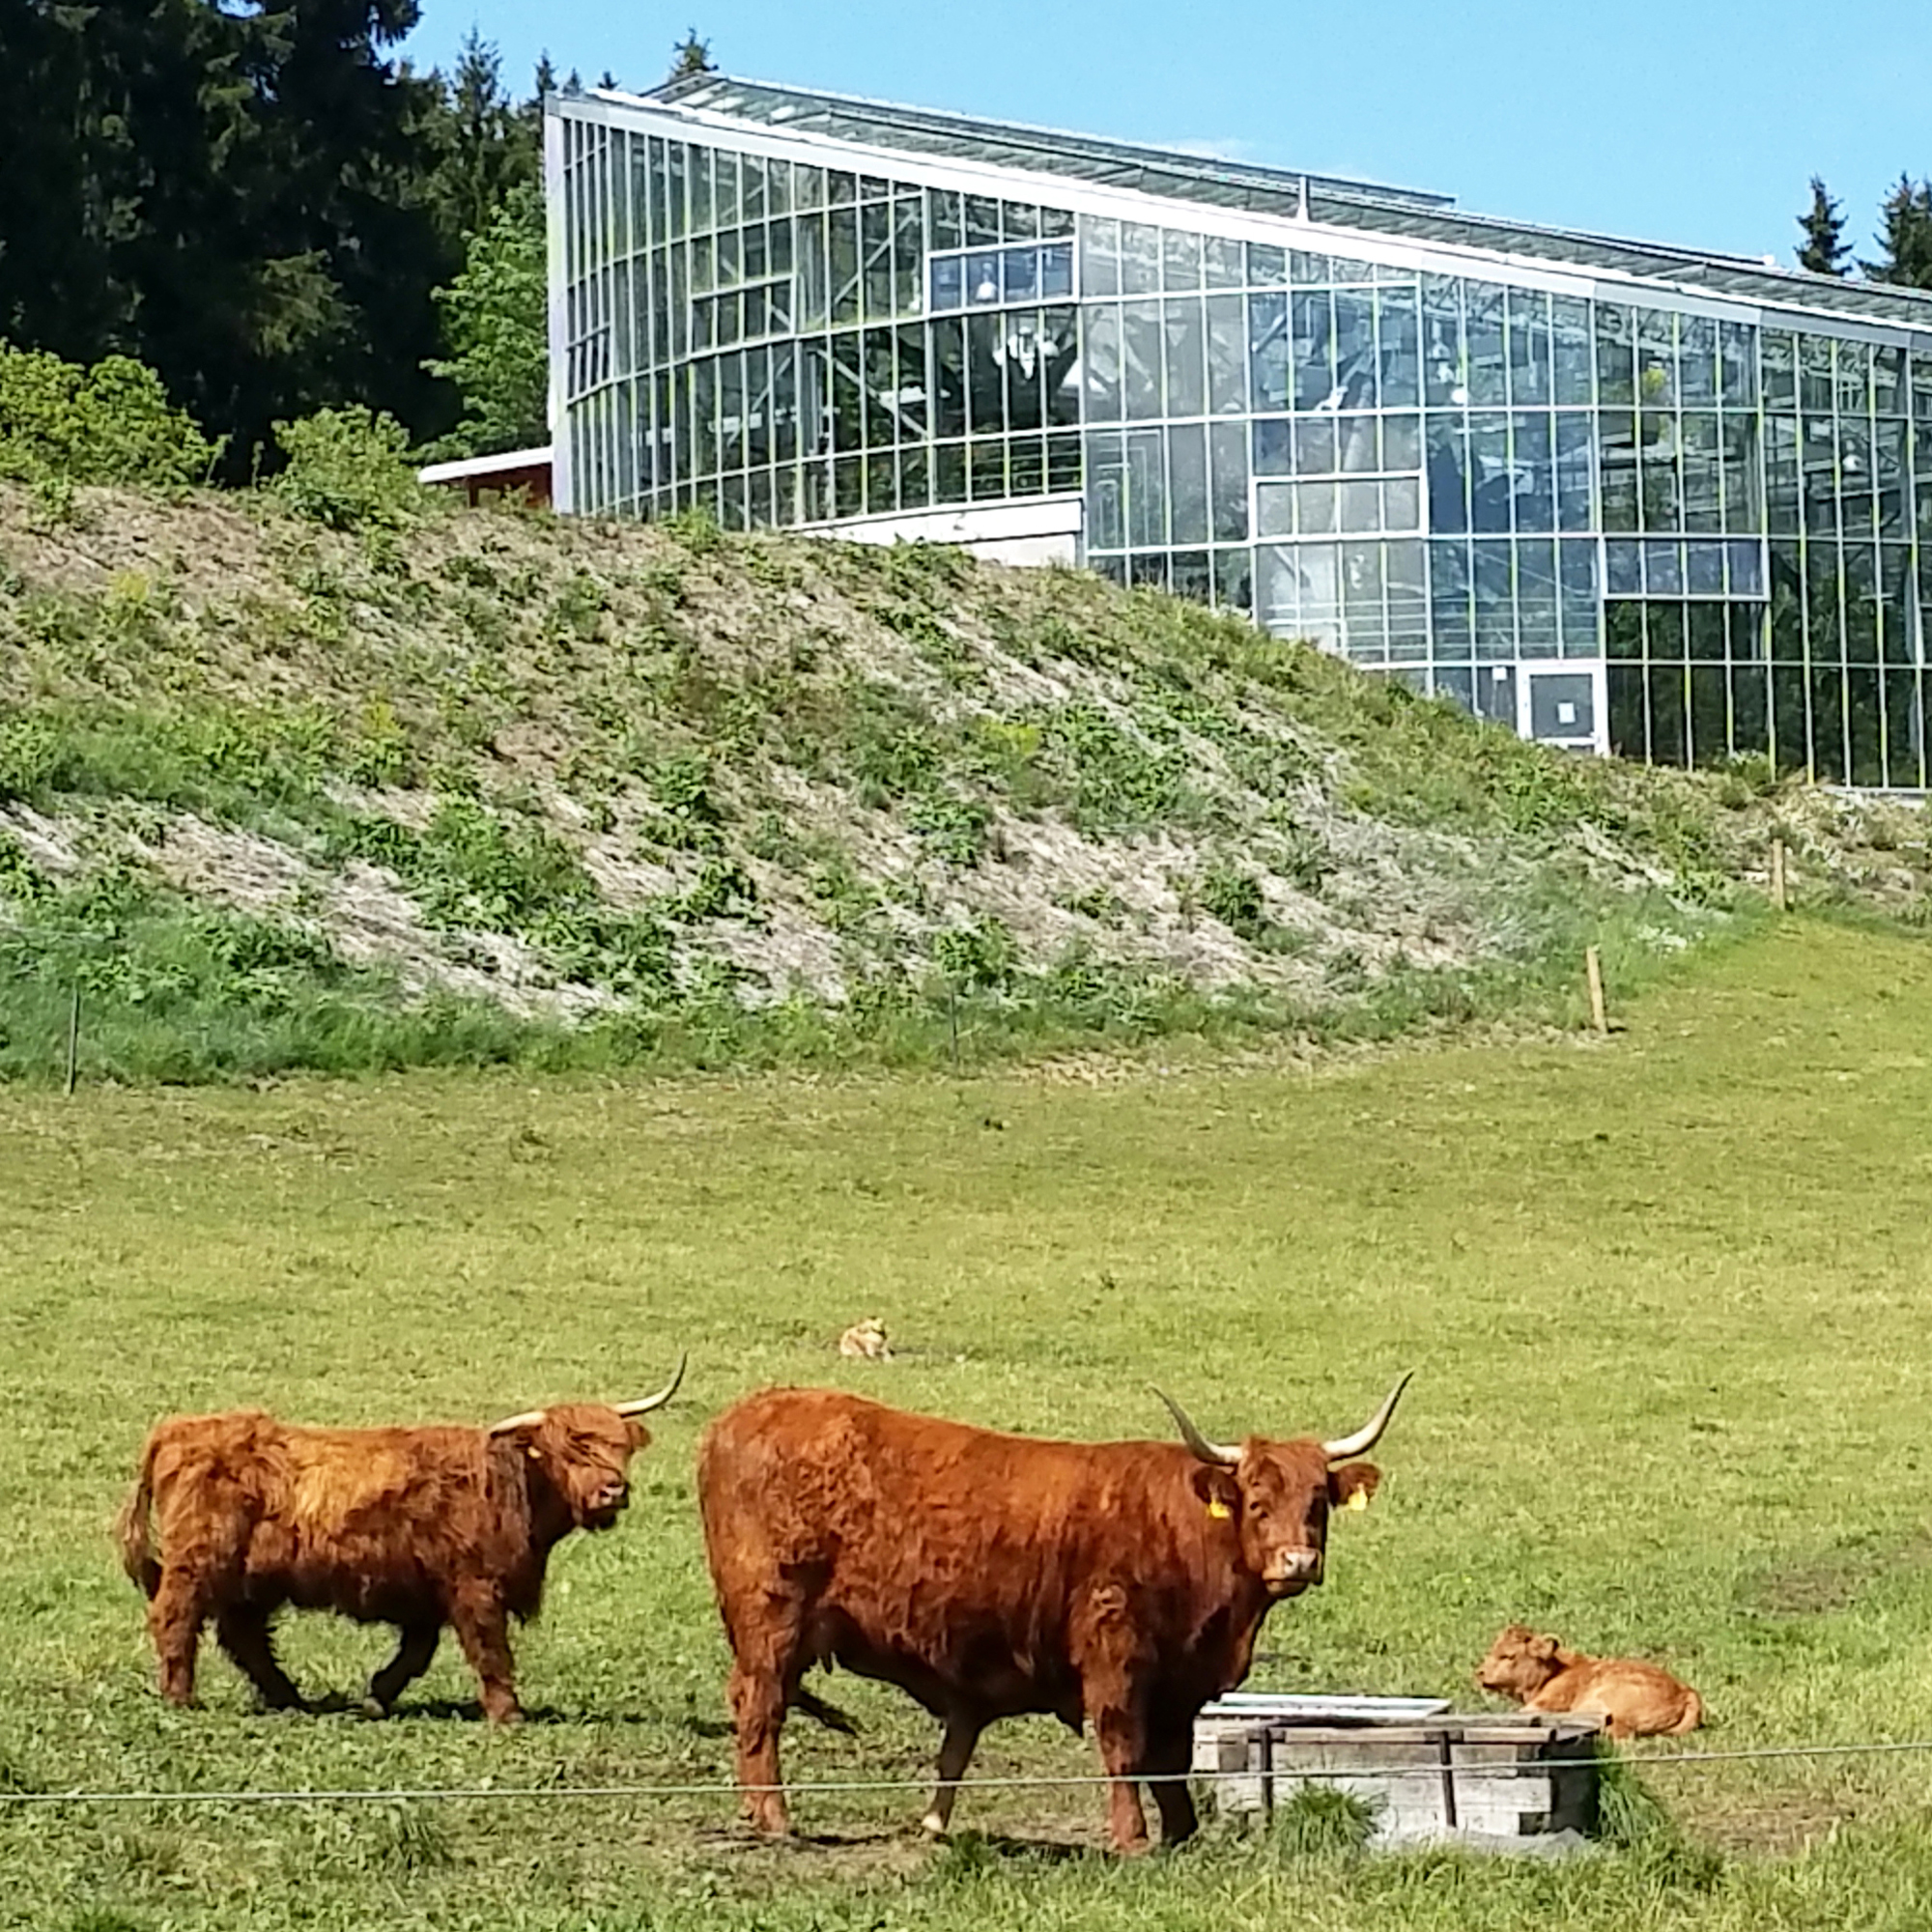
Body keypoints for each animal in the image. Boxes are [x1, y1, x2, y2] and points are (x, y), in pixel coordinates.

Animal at [115, 1360, 688, 1723]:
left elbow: (416, 1654)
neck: (517, 1486)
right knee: (176, 1617)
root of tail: (179, 1429)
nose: (613, 1490)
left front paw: (375, 1696)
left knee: (244, 1637)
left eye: (618, 1447)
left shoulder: (426, 1595)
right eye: (569, 1450)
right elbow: (490, 1650)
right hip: (198, 1561)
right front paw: (509, 1715)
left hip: (248, 1579)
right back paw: (181, 1697)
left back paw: (290, 1698)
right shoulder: (474, 1586)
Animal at [696, 1376, 1406, 1855]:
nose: (1298, 1561)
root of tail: (746, 1413)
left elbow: (1171, 1758)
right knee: (761, 1709)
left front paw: (1183, 1836)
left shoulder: (1181, 1682)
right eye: (1256, 1501)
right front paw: (1134, 1838)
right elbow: (1125, 1747)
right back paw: (775, 1821)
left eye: (1318, 1501)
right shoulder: (1115, 1655)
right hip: (772, 1623)